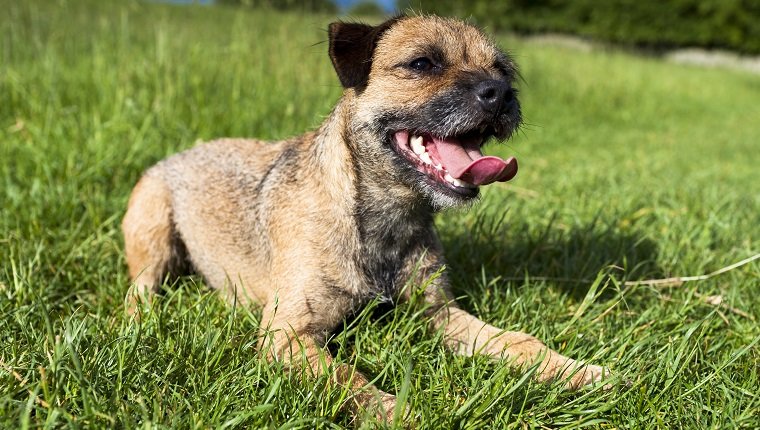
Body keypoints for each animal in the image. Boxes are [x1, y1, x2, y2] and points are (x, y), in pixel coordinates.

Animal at [121, 14, 608, 424]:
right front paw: (398, 413)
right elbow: (347, 378)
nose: (501, 93)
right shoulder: (288, 335)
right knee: (140, 287)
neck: (385, 218)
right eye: (422, 63)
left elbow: (517, 340)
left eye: (503, 70)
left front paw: (576, 371)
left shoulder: (439, 314)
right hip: (152, 227)